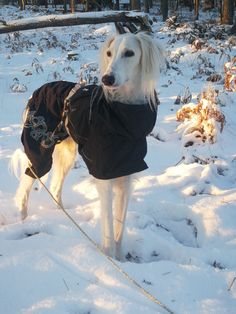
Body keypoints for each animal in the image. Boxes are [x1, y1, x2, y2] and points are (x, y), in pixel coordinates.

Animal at [12, 31, 163, 258]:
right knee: (25, 187)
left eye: (129, 53)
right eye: (109, 53)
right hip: (40, 152)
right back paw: (22, 222)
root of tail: (37, 91)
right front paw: (110, 259)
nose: (107, 79)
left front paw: (121, 260)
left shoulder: (126, 178)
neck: (123, 119)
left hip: (66, 155)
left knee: (55, 189)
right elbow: (109, 229)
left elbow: (119, 230)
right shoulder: (104, 177)